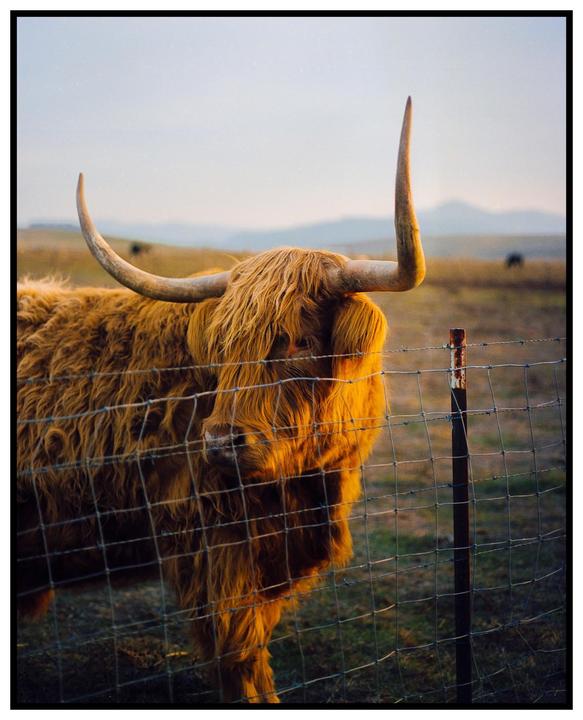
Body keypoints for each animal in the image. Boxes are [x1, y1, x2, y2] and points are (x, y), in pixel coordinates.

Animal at [17, 99, 425, 703]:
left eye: (298, 341)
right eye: (226, 348)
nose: (219, 441)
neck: (302, 489)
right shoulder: (212, 550)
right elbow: (240, 656)